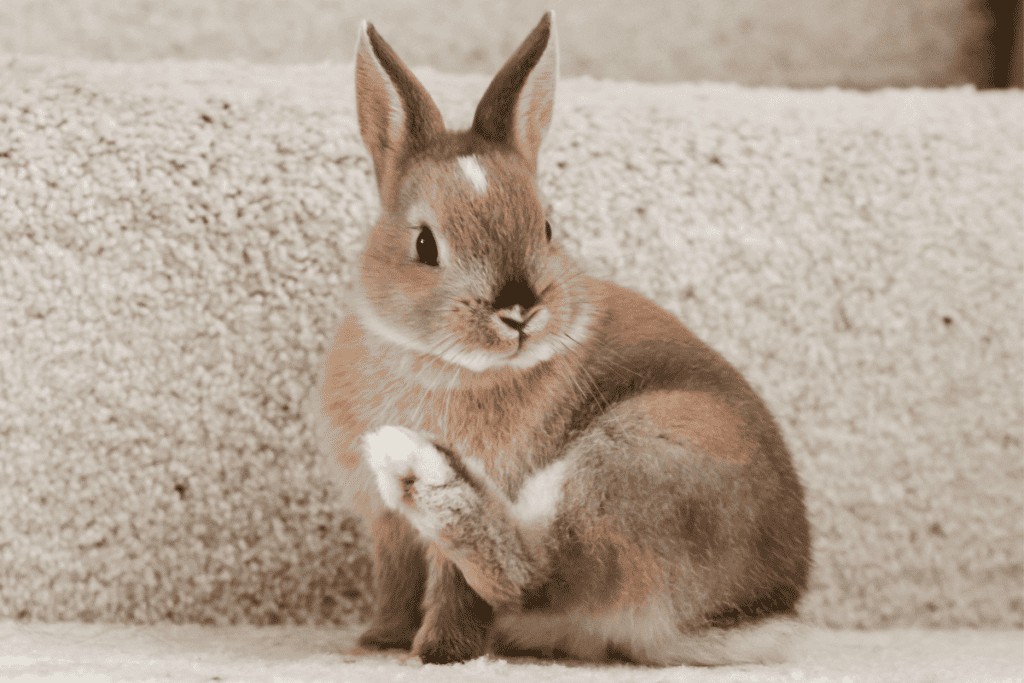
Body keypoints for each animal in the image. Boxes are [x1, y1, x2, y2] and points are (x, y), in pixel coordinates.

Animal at [317, 11, 811, 666]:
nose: (519, 312)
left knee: (539, 577)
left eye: (547, 228)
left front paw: (440, 653)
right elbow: (397, 582)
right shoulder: (388, 535)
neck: (440, 360)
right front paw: (380, 641)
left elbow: (457, 592)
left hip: (629, 459)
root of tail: (739, 614)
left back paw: (417, 466)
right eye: (424, 245)